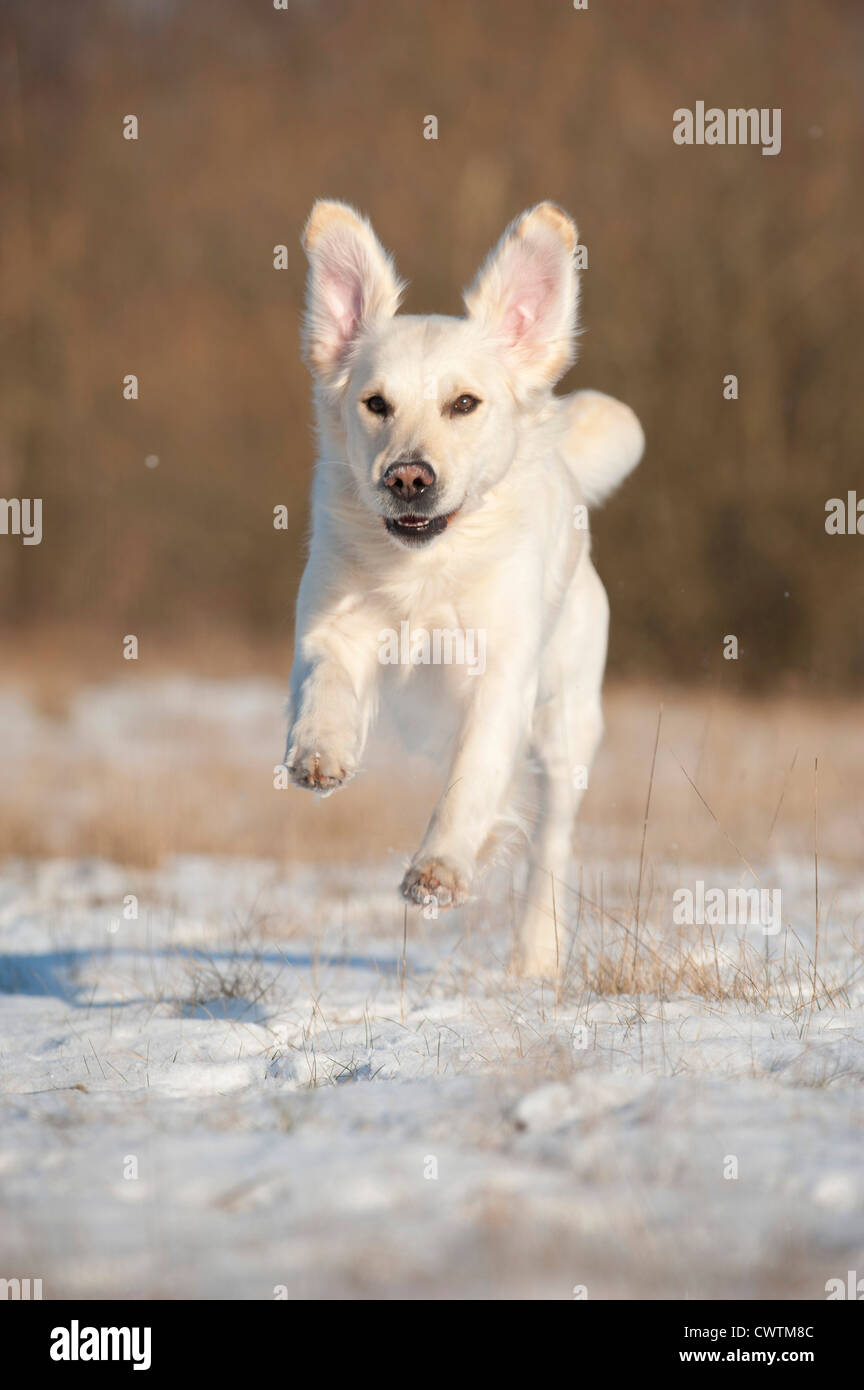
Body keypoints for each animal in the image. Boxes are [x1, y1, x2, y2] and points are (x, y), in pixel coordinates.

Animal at [287, 201, 647, 978]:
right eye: (375, 403)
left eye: (464, 403)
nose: (408, 477)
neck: (427, 567)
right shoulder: (332, 627)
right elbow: (326, 686)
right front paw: (319, 752)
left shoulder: (502, 676)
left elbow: (473, 777)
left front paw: (439, 869)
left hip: (568, 723)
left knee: (552, 843)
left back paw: (536, 954)